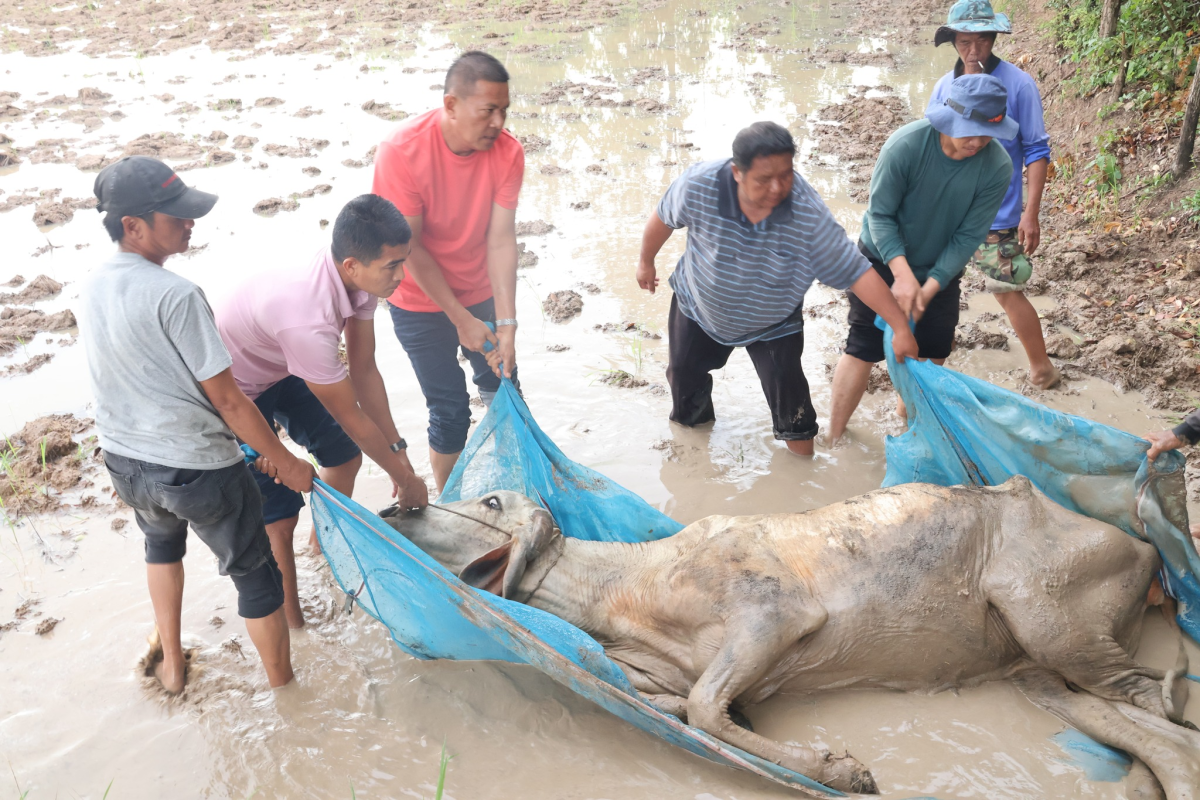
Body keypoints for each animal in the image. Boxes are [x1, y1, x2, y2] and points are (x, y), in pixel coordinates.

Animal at [384, 479, 1200, 796]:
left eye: (490, 501)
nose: (396, 507)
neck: (626, 591)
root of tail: (1144, 550)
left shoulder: (773, 613)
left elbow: (706, 707)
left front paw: (844, 769)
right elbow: (689, 707)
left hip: (1038, 602)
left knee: (1154, 700)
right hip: (1036, 664)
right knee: (1139, 721)